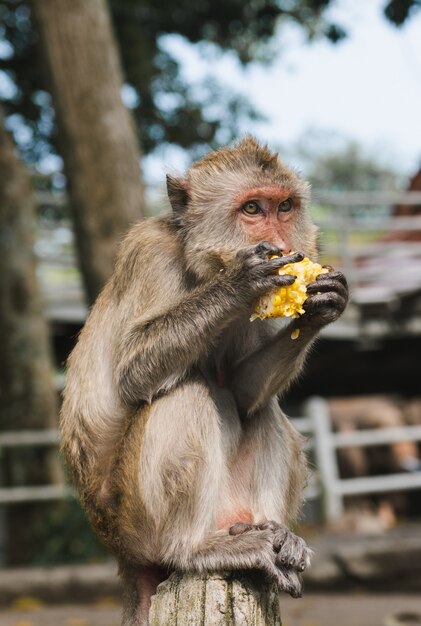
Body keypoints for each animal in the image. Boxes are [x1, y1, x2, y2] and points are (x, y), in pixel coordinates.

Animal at [60, 138, 348, 624]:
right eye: (252, 208)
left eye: (284, 207)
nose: (282, 241)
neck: (202, 268)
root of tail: (121, 555)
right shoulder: (149, 253)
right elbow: (132, 374)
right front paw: (238, 284)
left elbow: (245, 391)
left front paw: (318, 307)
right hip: (134, 522)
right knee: (186, 394)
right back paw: (192, 550)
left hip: (227, 509)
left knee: (262, 410)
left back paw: (276, 536)